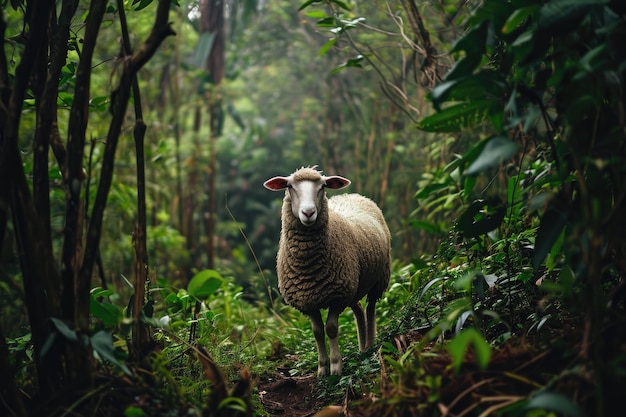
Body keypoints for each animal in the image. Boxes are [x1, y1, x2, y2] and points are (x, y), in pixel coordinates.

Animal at [264, 167, 390, 376]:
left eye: (322, 186)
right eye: (289, 186)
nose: (308, 212)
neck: (308, 267)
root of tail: (354, 195)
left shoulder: (337, 297)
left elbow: (331, 329)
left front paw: (336, 367)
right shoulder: (308, 300)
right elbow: (317, 332)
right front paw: (322, 369)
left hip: (378, 280)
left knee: (370, 309)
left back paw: (370, 347)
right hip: (353, 286)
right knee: (359, 310)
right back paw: (362, 348)